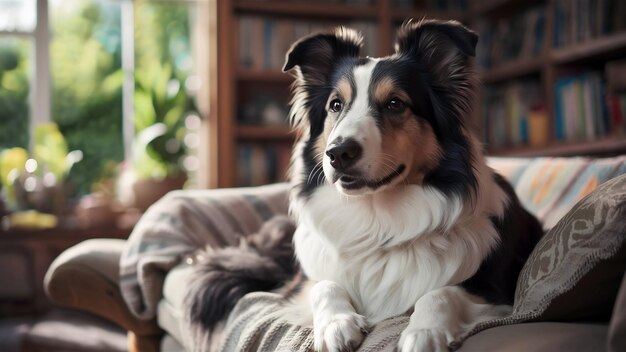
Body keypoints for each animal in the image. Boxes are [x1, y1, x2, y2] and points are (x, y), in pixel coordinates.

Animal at [280, 20, 540, 352]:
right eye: (335, 105)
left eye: (395, 103)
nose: (338, 153)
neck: (376, 218)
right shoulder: (297, 284)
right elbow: (323, 285)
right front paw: (336, 324)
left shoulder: (492, 291)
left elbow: (440, 293)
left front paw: (424, 332)